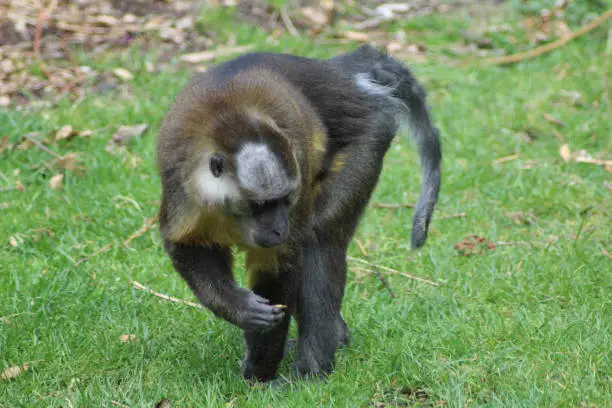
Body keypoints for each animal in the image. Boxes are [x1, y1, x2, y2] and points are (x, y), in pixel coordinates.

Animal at [155, 44, 442, 382]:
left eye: (284, 200)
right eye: (261, 206)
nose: (279, 228)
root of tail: (338, 75)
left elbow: (282, 264)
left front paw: (259, 374)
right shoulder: (182, 189)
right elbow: (185, 245)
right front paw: (238, 307)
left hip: (370, 133)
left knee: (319, 236)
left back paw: (311, 370)